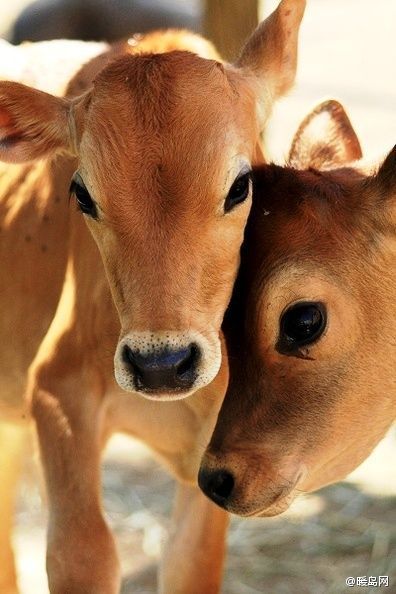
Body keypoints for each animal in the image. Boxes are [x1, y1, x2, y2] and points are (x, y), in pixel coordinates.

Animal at [0, 1, 306, 592]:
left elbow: (191, 563)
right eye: (82, 193)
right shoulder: (55, 391)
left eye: (240, 185)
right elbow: (83, 556)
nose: (161, 365)